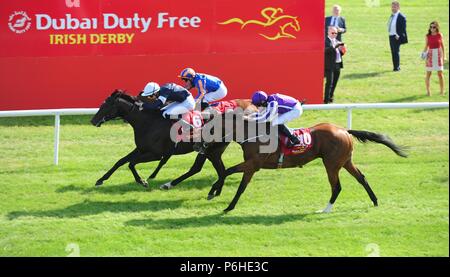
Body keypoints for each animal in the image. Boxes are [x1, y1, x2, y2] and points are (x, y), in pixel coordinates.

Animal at [90, 89, 230, 189]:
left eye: (105, 105)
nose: (93, 121)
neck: (148, 122)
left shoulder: (156, 154)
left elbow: (131, 163)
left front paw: (142, 181)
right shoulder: (141, 148)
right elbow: (120, 161)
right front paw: (101, 179)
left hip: (210, 150)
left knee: (199, 168)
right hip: (212, 151)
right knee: (216, 170)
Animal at [195, 113, 406, 212]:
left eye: (209, 128)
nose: (198, 144)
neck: (253, 134)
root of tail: (344, 130)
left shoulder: (253, 165)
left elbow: (230, 175)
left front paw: (219, 197)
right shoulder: (251, 166)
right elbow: (234, 179)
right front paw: (220, 197)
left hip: (331, 164)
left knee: (337, 187)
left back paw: (325, 210)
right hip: (345, 161)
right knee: (361, 178)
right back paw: (375, 201)